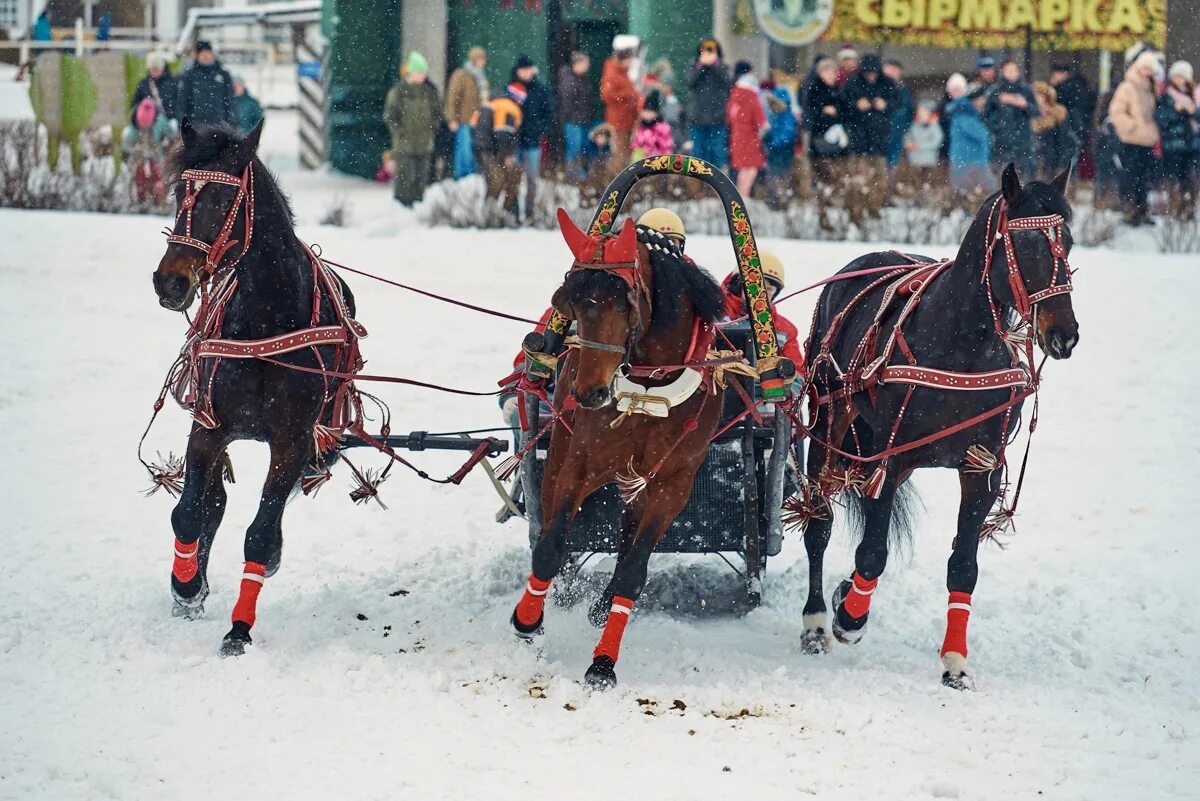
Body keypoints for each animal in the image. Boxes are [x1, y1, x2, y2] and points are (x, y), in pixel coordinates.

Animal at [148, 120, 360, 657]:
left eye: (224, 199)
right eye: (179, 193)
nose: (169, 282)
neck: (266, 316)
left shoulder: (293, 439)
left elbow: (261, 535)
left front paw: (238, 629)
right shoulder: (209, 427)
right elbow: (189, 513)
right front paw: (187, 586)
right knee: (212, 505)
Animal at [506, 211, 720, 690]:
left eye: (622, 303)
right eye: (568, 302)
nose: (589, 392)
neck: (647, 390)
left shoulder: (672, 484)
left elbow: (632, 571)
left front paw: (603, 662)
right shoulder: (579, 464)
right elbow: (550, 547)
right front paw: (528, 622)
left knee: (628, 536)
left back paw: (601, 607)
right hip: (559, 454)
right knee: (550, 520)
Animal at [796, 164, 1080, 690]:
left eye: (1067, 242)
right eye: (1026, 244)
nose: (1064, 334)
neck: (961, 343)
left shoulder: (981, 467)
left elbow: (963, 565)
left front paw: (955, 663)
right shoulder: (888, 459)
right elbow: (872, 553)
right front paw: (849, 614)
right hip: (830, 420)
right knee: (818, 523)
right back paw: (817, 621)